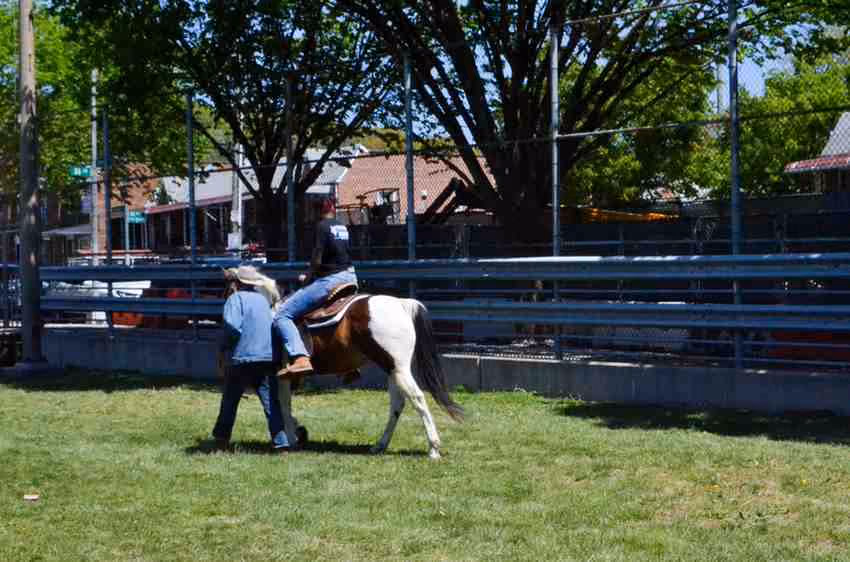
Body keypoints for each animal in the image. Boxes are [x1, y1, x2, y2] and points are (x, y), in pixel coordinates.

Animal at [222, 268, 463, 459]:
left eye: (228, 290)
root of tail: (402, 304)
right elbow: (284, 405)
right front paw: (299, 432)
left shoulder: (282, 375)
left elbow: (283, 404)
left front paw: (292, 437)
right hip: (393, 369)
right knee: (397, 404)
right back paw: (380, 445)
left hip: (399, 368)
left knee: (418, 398)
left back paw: (433, 448)